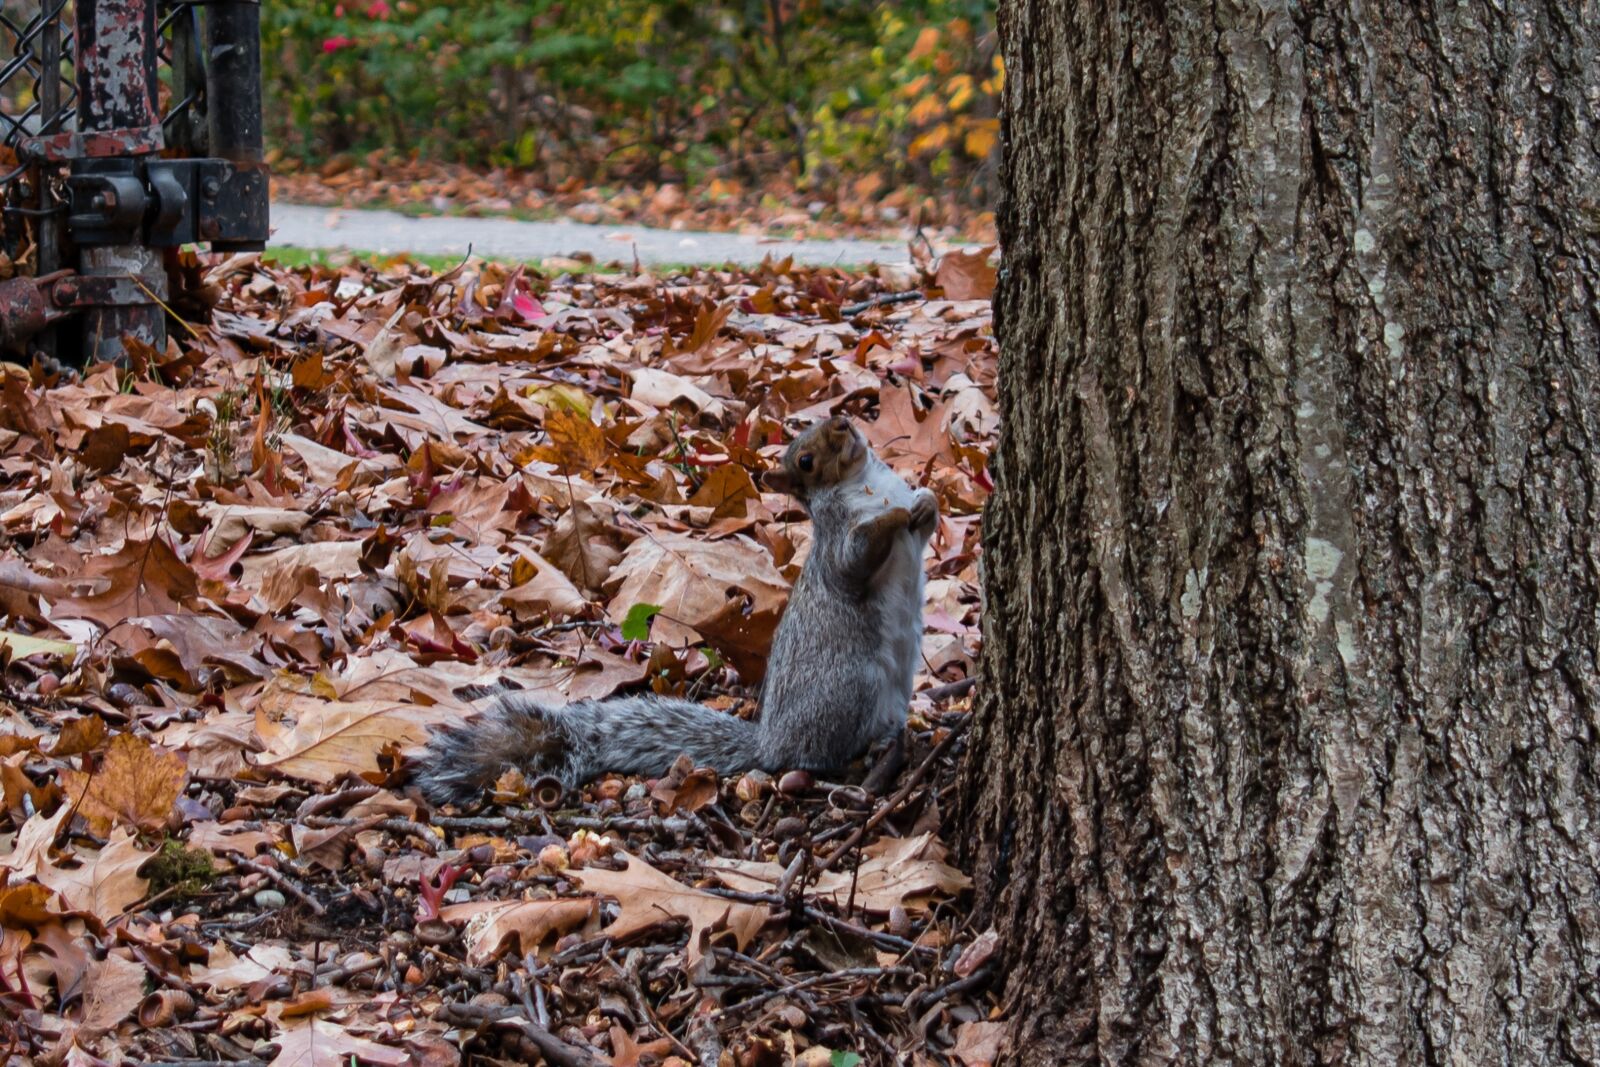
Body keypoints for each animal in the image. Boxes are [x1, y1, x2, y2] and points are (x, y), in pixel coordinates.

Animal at [411, 414, 938, 806]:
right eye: (805, 461)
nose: (844, 422)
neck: (866, 482)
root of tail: (772, 739)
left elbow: (924, 522)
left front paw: (925, 502)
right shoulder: (836, 537)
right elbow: (853, 562)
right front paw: (893, 516)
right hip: (849, 687)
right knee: (819, 754)